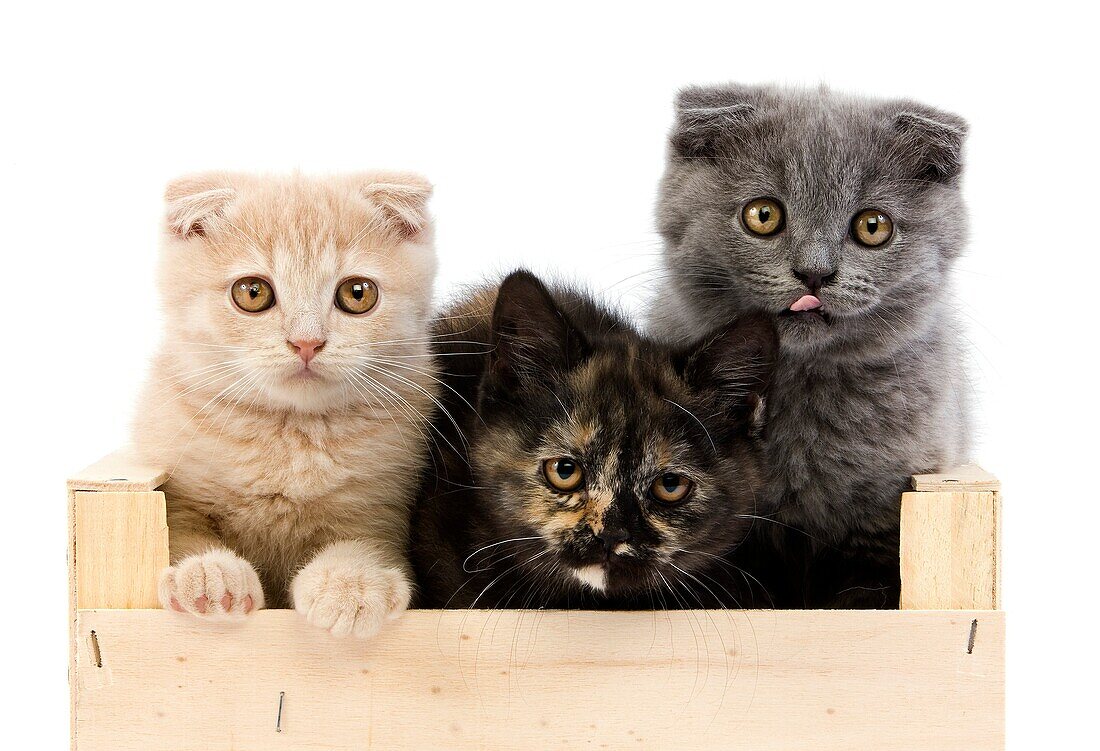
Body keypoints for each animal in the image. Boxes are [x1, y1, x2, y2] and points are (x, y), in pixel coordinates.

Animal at [130, 171, 435, 642]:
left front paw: (351, 584)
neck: (289, 435)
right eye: (252, 292)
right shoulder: (176, 493)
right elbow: (180, 534)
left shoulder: (383, 509)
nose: (306, 342)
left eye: (357, 294)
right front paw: (207, 575)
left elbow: (365, 545)